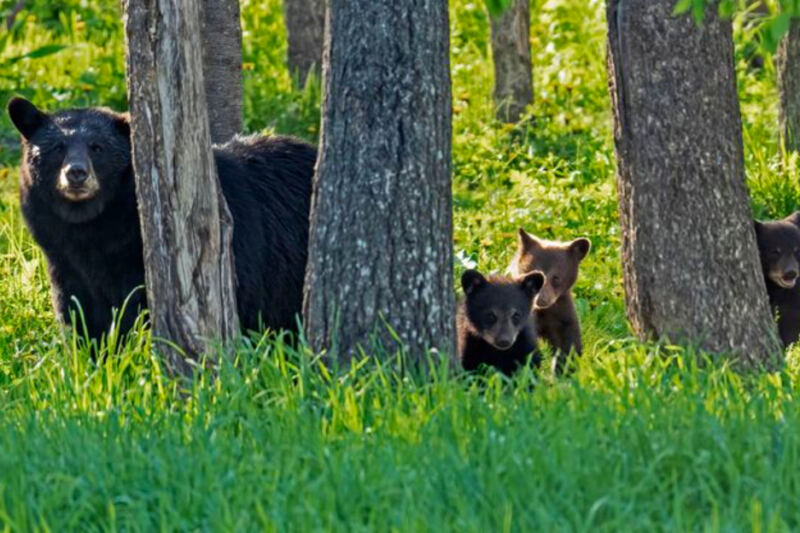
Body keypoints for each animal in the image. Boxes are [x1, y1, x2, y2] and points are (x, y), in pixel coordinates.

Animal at [508, 229, 590, 375]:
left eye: (556, 277)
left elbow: (568, 342)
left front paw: (565, 371)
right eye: (533, 272)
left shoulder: (561, 311)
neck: (543, 311)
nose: (541, 299)